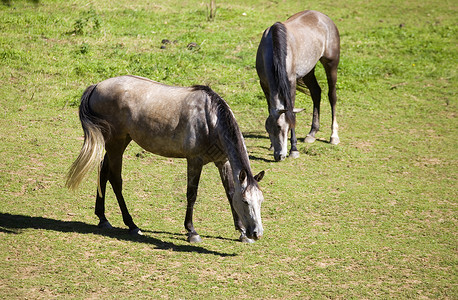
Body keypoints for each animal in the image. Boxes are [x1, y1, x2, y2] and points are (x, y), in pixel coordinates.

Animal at [65, 75, 264, 244]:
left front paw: (241, 231)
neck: (210, 119)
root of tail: (96, 86)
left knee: (103, 172)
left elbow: (229, 192)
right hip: (115, 143)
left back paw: (103, 218)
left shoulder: (223, 162)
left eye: (260, 201)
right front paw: (191, 231)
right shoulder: (194, 161)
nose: (257, 233)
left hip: (118, 143)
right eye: (245, 202)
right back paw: (132, 225)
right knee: (115, 179)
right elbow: (191, 194)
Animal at [256, 9, 342, 162]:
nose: (279, 156)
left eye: (282, 128)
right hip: (309, 71)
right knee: (316, 92)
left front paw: (294, 150)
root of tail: (323, 17)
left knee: (332, 96)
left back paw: (334, 136)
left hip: (331, 64)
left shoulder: (291, 84)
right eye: (268, 129)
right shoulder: (264, 84)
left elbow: (291, 113)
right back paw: (312, 133)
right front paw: (271, 145)